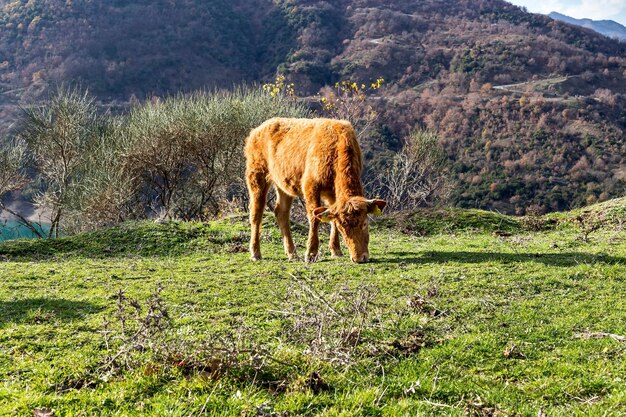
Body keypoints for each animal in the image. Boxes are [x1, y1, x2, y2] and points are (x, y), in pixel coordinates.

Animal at [245, 117, 386, 262]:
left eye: (364, 224)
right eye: (343, 228)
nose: (359, 258)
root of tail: (258, 129)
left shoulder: (332, 194)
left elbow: (331, 217)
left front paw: (336, 250)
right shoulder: (311, 186)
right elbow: (314, 217)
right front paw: (311, 253)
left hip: (283, 184)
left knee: (282, 213)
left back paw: (292, 253)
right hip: (257, 176)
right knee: (256, 212)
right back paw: (255, 252)